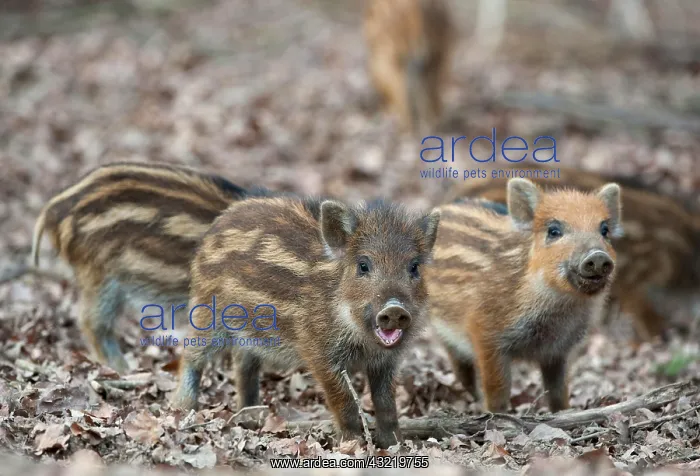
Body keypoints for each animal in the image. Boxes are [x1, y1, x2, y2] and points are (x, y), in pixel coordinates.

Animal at [170, 196, 441, 448]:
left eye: (414, 267)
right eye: (363, 265)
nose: (394, 308)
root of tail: (216, 225)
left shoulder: (387, 361)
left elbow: (386, 403)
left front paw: (395, 444)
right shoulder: (318, 351)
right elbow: (343, 400)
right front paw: (352, 443)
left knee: (243, 362)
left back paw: (250, 414)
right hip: (207, 313)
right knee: (191, 354)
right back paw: (183, 407)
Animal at [427, 178, 621, 412]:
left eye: (604, 230)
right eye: (554, 231)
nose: (598, 256)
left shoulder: (559, 351)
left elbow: (558, 391)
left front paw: (564, 412)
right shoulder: (485, 334)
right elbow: (498, 390)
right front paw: (497, 415)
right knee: (460, 367)